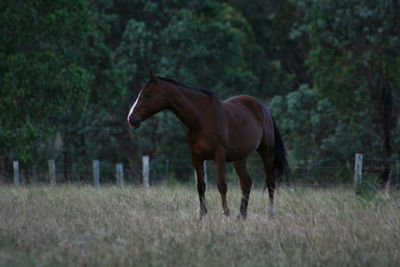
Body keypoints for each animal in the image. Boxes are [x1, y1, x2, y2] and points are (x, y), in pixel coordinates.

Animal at [128, 72, 290, 219]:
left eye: (147, 94)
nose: (131, 118)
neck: (200, 119)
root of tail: (264, 108)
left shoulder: (219, 155)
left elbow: (222, 185)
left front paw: (225, 214)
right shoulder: (196, 157)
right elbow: (200, 186)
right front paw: (202, 215)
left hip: (266, 153)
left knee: (270, 182)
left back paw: (270, 214)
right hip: (239, 158)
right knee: (246, 183)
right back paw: (242, 216)